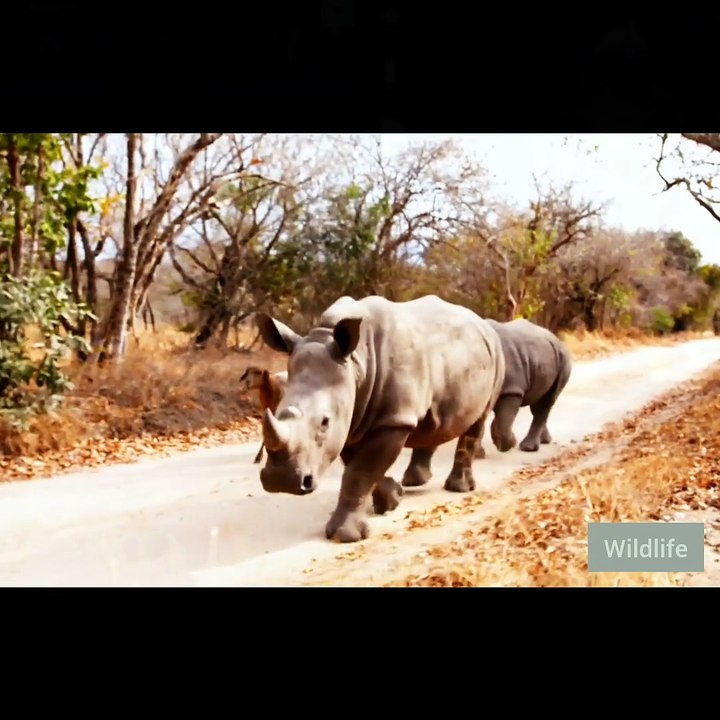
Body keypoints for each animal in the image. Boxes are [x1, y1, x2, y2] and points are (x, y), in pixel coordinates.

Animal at [254, 294, 506, 543]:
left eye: (324, 423)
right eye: (278, 413)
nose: (281, 480)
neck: (357, 363)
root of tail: (483, 322)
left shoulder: (392, 421)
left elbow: (360, 472)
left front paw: (346, 535)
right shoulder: (352, 422)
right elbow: (360, 468)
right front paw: (392, 499)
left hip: (497, 354)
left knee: (479, 419)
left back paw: (458, 488)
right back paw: (415, 482)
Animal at [478, 318, 572, 456]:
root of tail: (556, 339)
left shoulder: (512, 389)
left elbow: (502, 422)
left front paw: (507, 443)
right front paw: (479, 454)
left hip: (563, 359)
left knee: (547, 400)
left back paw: (528, 448)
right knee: (538, 401)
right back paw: (545, 441)